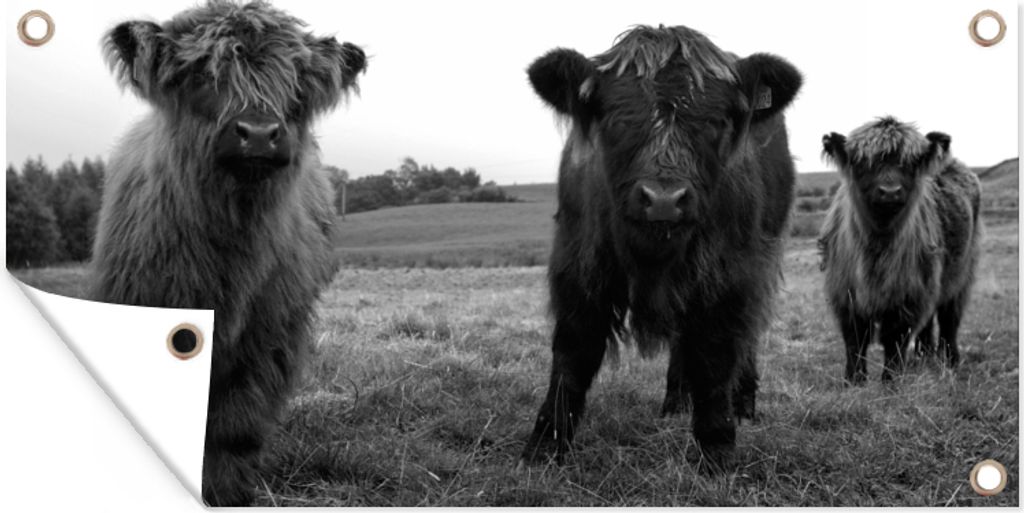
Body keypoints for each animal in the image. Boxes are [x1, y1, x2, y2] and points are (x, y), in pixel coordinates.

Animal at [91, 1, 366, 505]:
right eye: (202, 73)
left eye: (295, 82)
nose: (257, 133)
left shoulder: (268, 336)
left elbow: (236, 423)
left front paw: (226, 490)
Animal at [520, 25, 803, 471]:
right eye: (616, 118)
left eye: (716, 121)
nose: (665, 200)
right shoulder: (578, 265)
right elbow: (572, 354)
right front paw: (546, 443)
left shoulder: (729, 276)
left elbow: (716, 356)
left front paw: (717, 446)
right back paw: (675, 399)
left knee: (746, 337)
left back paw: (743, 402)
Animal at [819, 117, 981, 383]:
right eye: (863, 162)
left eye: (910, 163)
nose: (890, 191)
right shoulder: (844, 293)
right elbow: (855, 339)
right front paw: (854, 380)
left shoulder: (907, 295)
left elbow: (894, 340)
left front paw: (891, 381)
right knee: (929, 322)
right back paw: (923, 357)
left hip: (962, 273)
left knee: (949, 318)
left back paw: (950, 361)